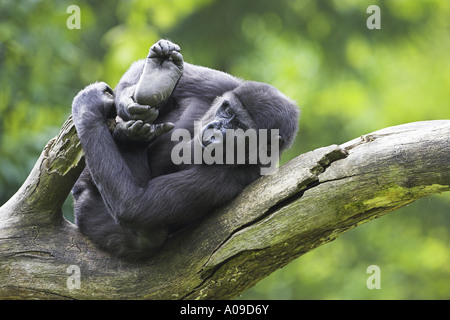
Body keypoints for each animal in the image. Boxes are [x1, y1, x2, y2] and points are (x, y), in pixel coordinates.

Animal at [72, 40, 298, 260]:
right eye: (227, 110)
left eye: (240, 127)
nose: (215, 128)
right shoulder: (226, 86)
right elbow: (145, 70)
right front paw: (131, 99)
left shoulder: (231, 178)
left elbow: (133, 204)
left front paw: (87, 109)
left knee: (148, 237)